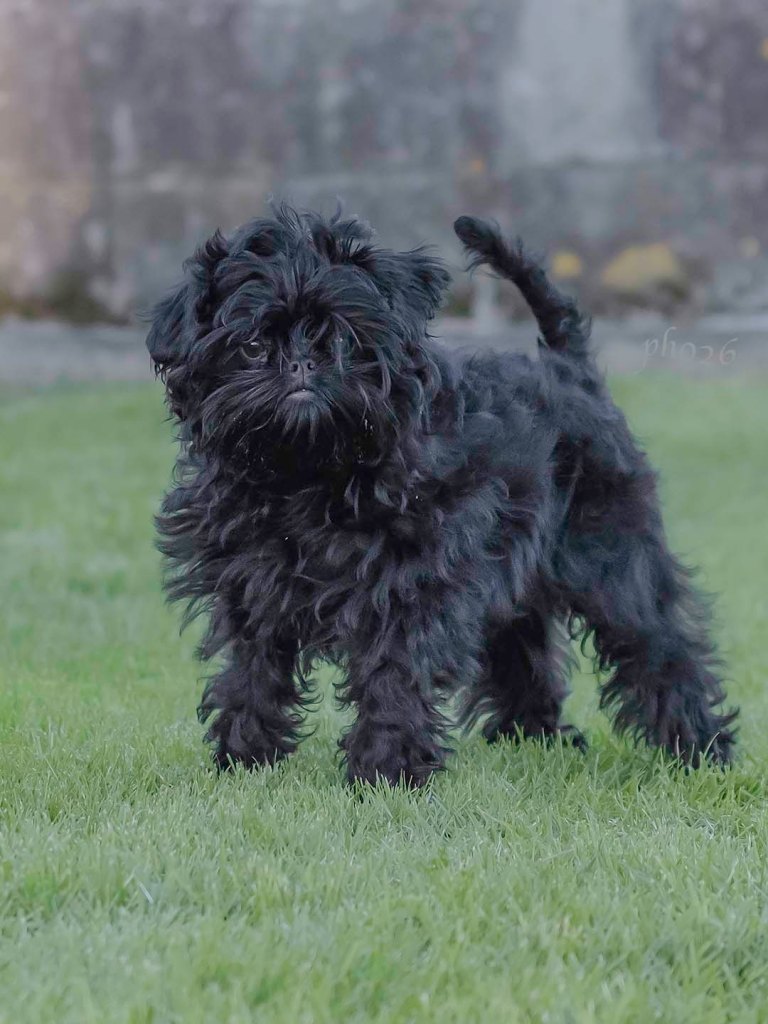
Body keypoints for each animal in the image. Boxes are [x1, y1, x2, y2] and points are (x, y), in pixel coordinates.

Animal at [147, 204, 736, 786]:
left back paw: (701, 751)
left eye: (343, 340)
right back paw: (534, 739)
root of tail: (570, 370)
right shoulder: (250, 585)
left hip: (612, 559)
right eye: (251, 346)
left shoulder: (410, 584)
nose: (301, 363)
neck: (305, 471)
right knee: (523, 647)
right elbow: (253, 670)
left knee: (658, 644)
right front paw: (243, 761)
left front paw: (386, 773)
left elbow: (394, 672)